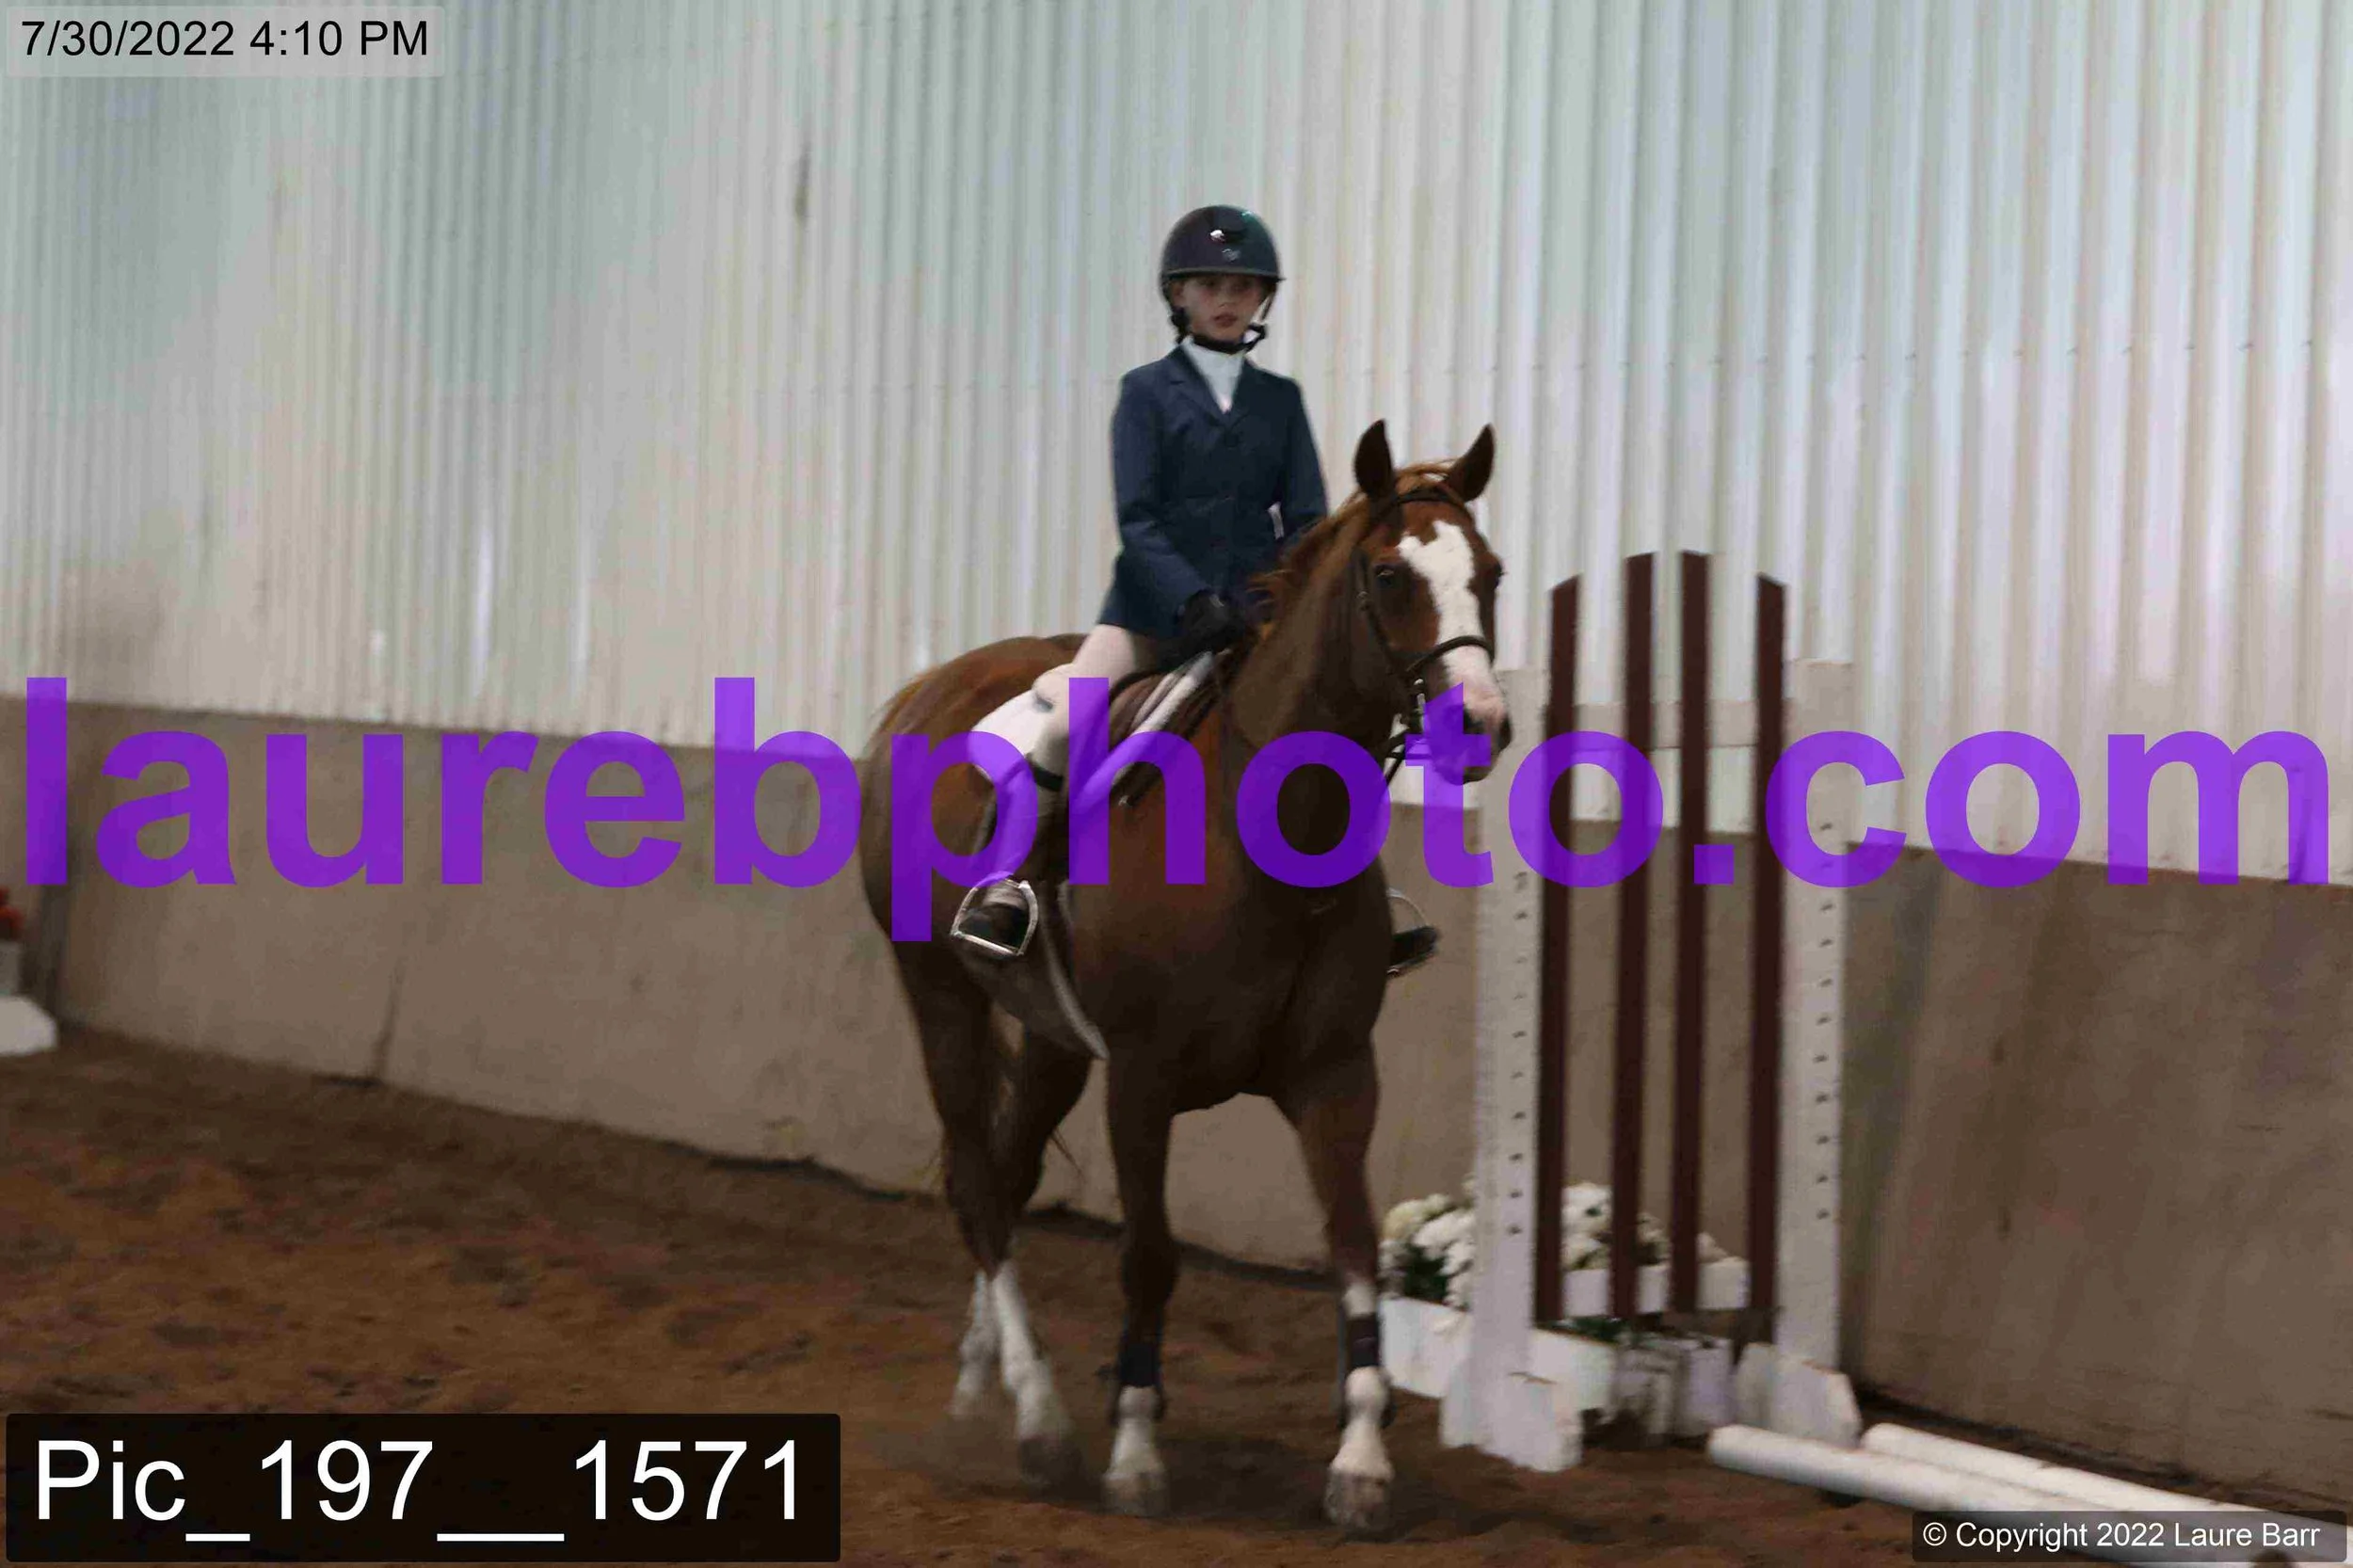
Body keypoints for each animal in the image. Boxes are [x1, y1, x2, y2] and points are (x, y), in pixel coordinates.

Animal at [852, 419, 1511, 1533]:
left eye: (1490, 574)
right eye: (1388, 575)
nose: (1482, 724)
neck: (1272, 834)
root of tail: (924, 691)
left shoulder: (1337, 1076)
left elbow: (1353, 1248)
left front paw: (1361, 1462)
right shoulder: (1143, 1078)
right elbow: (1150, 1255)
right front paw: (1133, 1454)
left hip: (1052, 1038)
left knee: (1008, 1178)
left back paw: (979, 1389)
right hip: (940, 996)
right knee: (981, 1187)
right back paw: (1039, 1422)